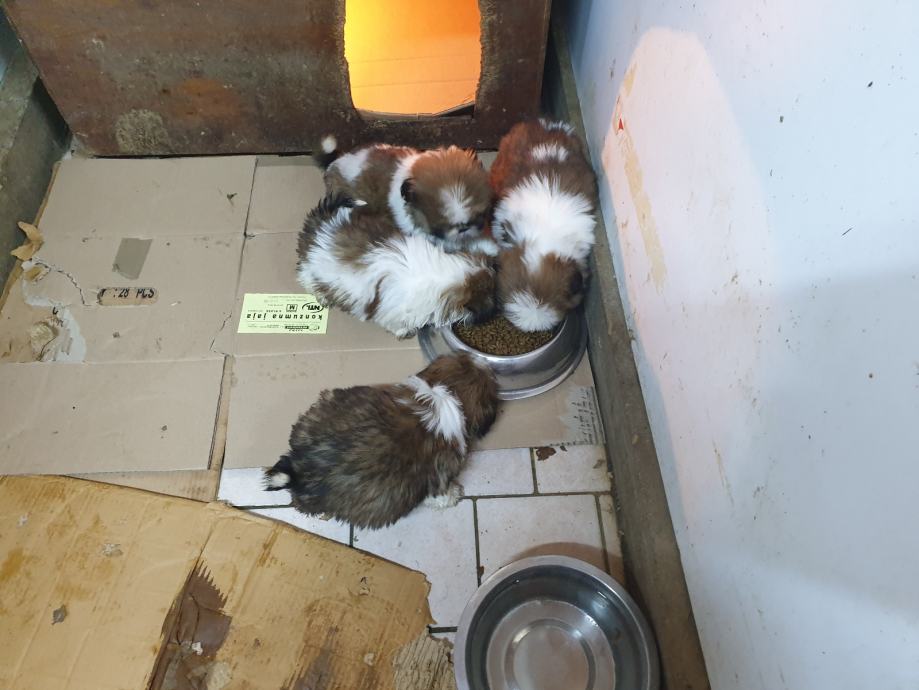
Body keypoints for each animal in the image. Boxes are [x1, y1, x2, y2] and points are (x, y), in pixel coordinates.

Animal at [263, 353, 499, 529]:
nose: (483, 360)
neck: (447, 391)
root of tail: (299, 471)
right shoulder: (441, 474)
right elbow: (440, 494)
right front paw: (454, 495)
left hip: (320, 407)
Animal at [296, 193, 497, 338]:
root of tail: (325, 217)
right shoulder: (396, 311)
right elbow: (398, 323)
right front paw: (405, 332)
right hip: (313, 266)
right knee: (306, 275)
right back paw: (320, 295)